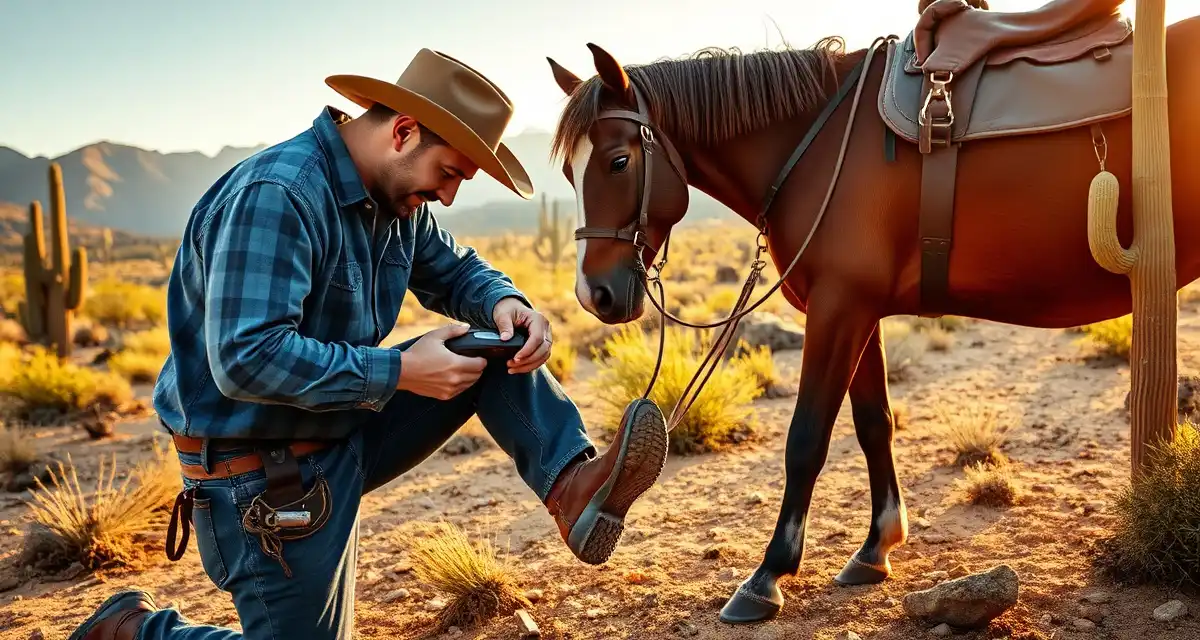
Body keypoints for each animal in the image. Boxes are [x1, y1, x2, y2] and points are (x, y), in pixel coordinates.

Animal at [542, 0, 1200, 625]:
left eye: (619, 161)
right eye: (571, 170)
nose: (594, 294)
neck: (820, 140)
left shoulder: (840, 307)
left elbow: (807, 438)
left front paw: (767, 577)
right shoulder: (858, 309)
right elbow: (873, 423)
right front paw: (876, 547)